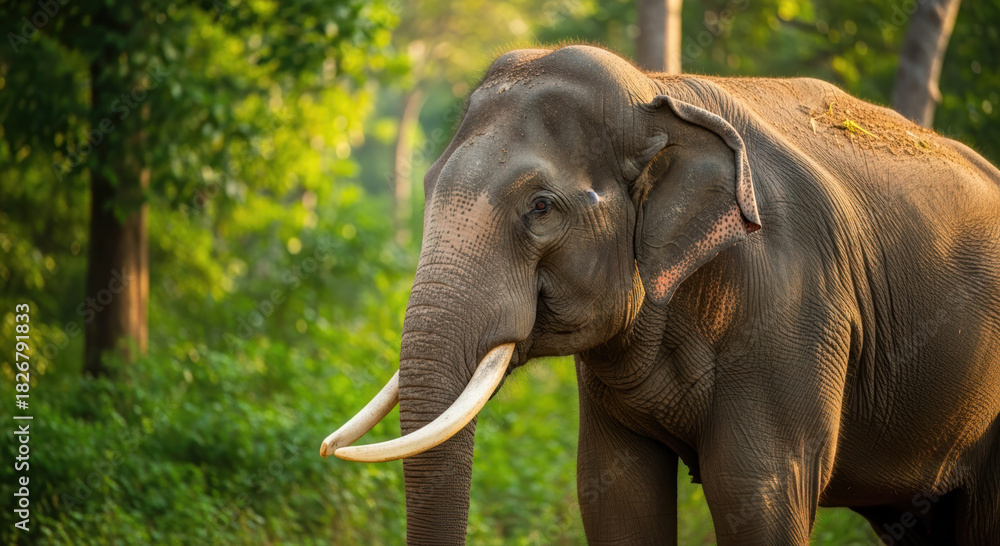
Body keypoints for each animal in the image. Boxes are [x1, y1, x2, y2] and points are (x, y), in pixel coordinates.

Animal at [321, 45, 1000, 545]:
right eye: (427, 185)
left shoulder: (796, 311)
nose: (328, 449)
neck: (658, 94)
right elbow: (616, 494)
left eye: (541, 208)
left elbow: (758, 492)